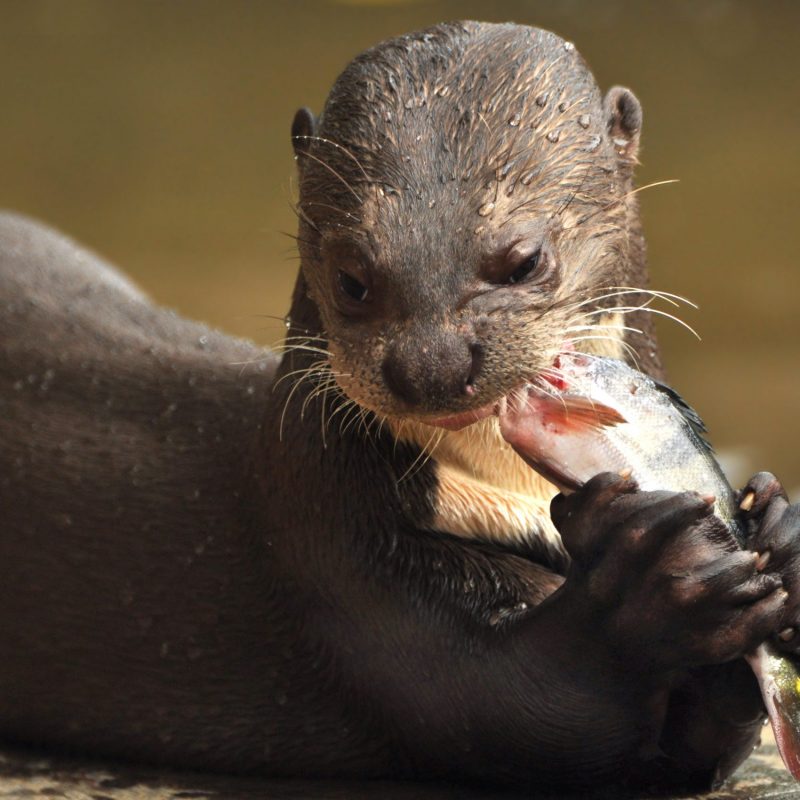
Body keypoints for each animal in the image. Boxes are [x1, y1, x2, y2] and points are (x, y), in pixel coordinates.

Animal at [1, 20, 800, 793]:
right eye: (352, 278)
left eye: (523, 261)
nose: (432, 363)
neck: (510, 503)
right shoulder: (336, 565)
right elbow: (519, 705)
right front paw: (647, 573)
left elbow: (704, 741)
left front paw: (778, 528)